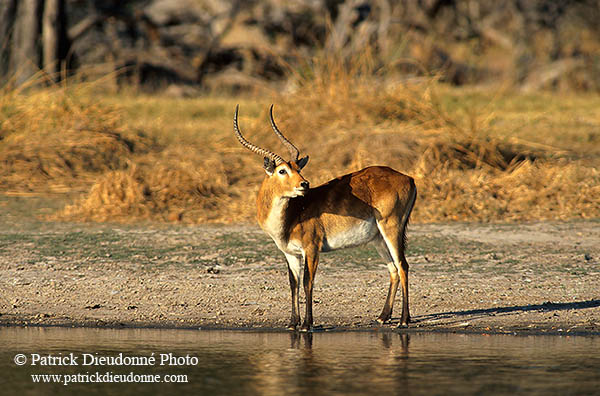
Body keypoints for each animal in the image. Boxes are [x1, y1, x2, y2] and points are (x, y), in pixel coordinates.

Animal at [234, 105, 418, 332]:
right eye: (282, 170)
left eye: (298, 168)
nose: (304, 184)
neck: (292, 215)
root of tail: (409, 178)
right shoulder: (290, 254)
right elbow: (293, 284)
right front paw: (293, 323)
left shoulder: (312, 249)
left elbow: (307, 282)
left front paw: (307, 324)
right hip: (378, 239)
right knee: (393, 269)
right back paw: (383, 317)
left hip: (392, 228)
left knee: (403, 266)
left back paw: (404, 320)